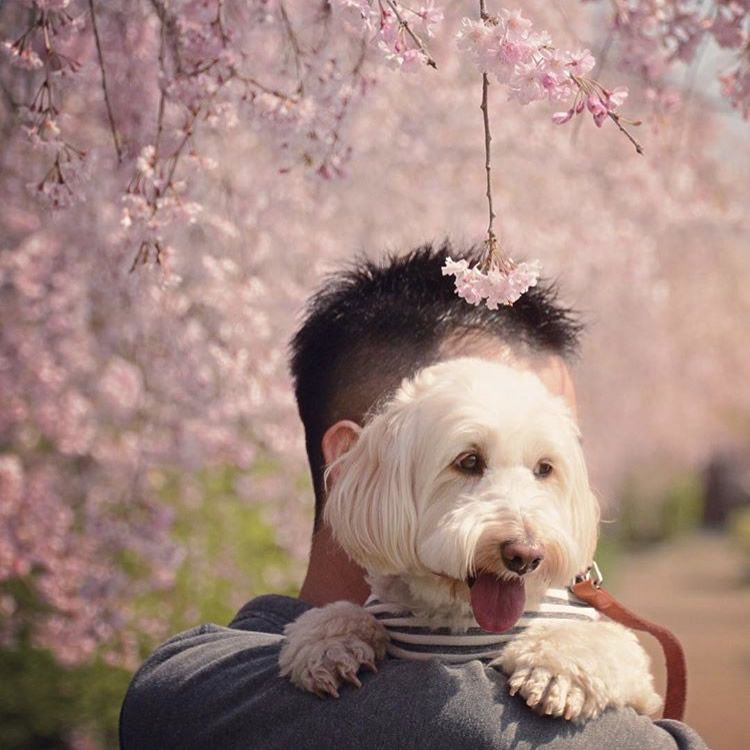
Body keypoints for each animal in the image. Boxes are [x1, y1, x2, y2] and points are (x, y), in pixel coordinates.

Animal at [280, 362, 656, 724]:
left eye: (544, 468)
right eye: (469, 461)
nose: (525, 555)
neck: (461, 614)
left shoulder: (635, 681)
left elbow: (600, 641)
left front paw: (553, 674)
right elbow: (340, 614)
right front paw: (328, 645)